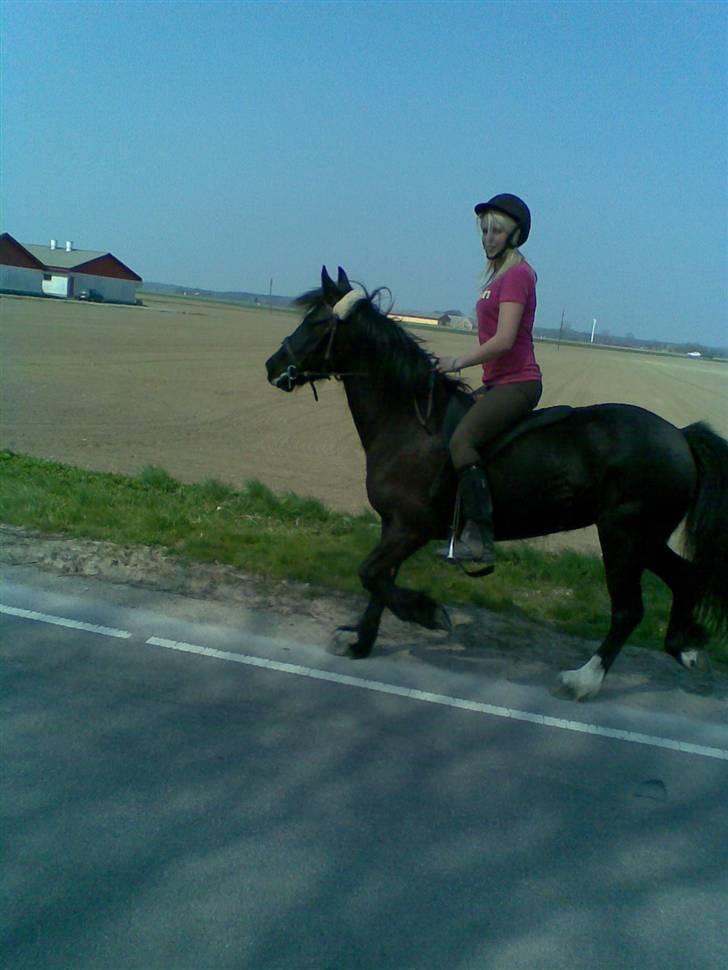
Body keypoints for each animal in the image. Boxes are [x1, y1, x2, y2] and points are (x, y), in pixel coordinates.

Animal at [265, 266, 728, 700]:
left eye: (317, 323)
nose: (272, 366)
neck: (412, 423)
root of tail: (679, 435)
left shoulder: (411, 528)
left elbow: (370, 574)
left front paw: (428, 613)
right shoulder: (392, 525)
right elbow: (378, 581)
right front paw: (361, 641)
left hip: (623, 536)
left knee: (629, 610)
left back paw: (583, 680)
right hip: (644, 538)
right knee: (685, 578)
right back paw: (685, 647)